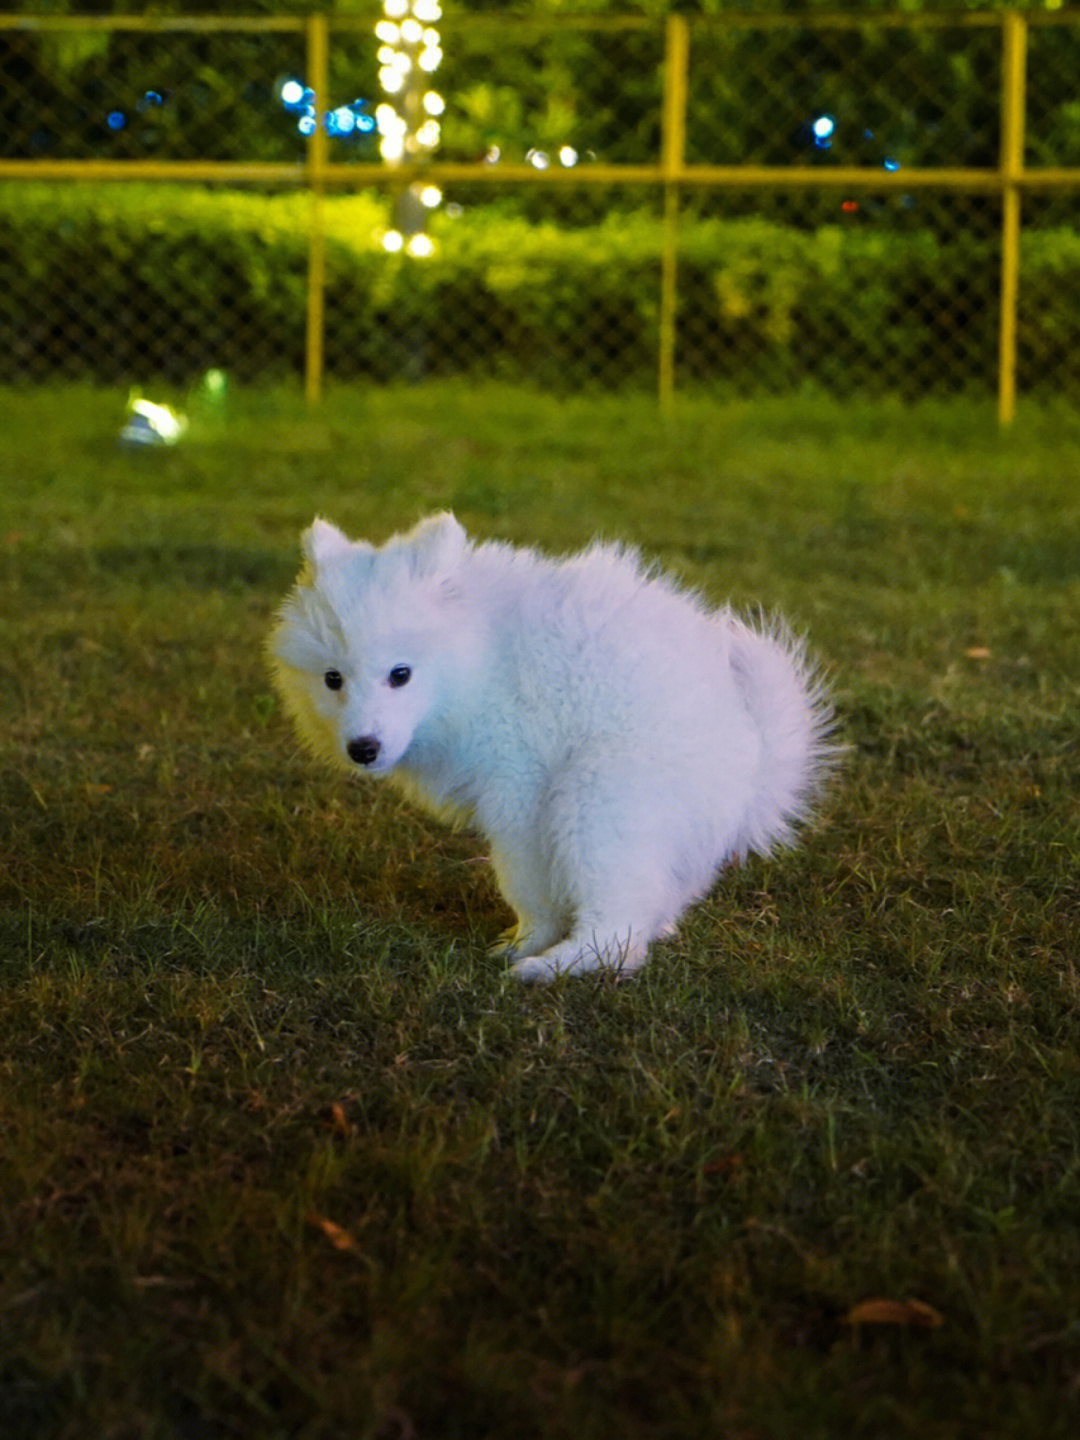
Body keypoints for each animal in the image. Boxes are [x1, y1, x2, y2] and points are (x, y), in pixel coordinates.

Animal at [270, 512, 835, 984]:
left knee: (618, 932)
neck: (480, 658)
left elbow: (526, 883)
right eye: (333, 679)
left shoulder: (520, 793)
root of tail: (754, 768)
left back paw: (550, 967)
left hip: (598, 796)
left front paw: (526, 943)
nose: (363, 748)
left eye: (400, 674)